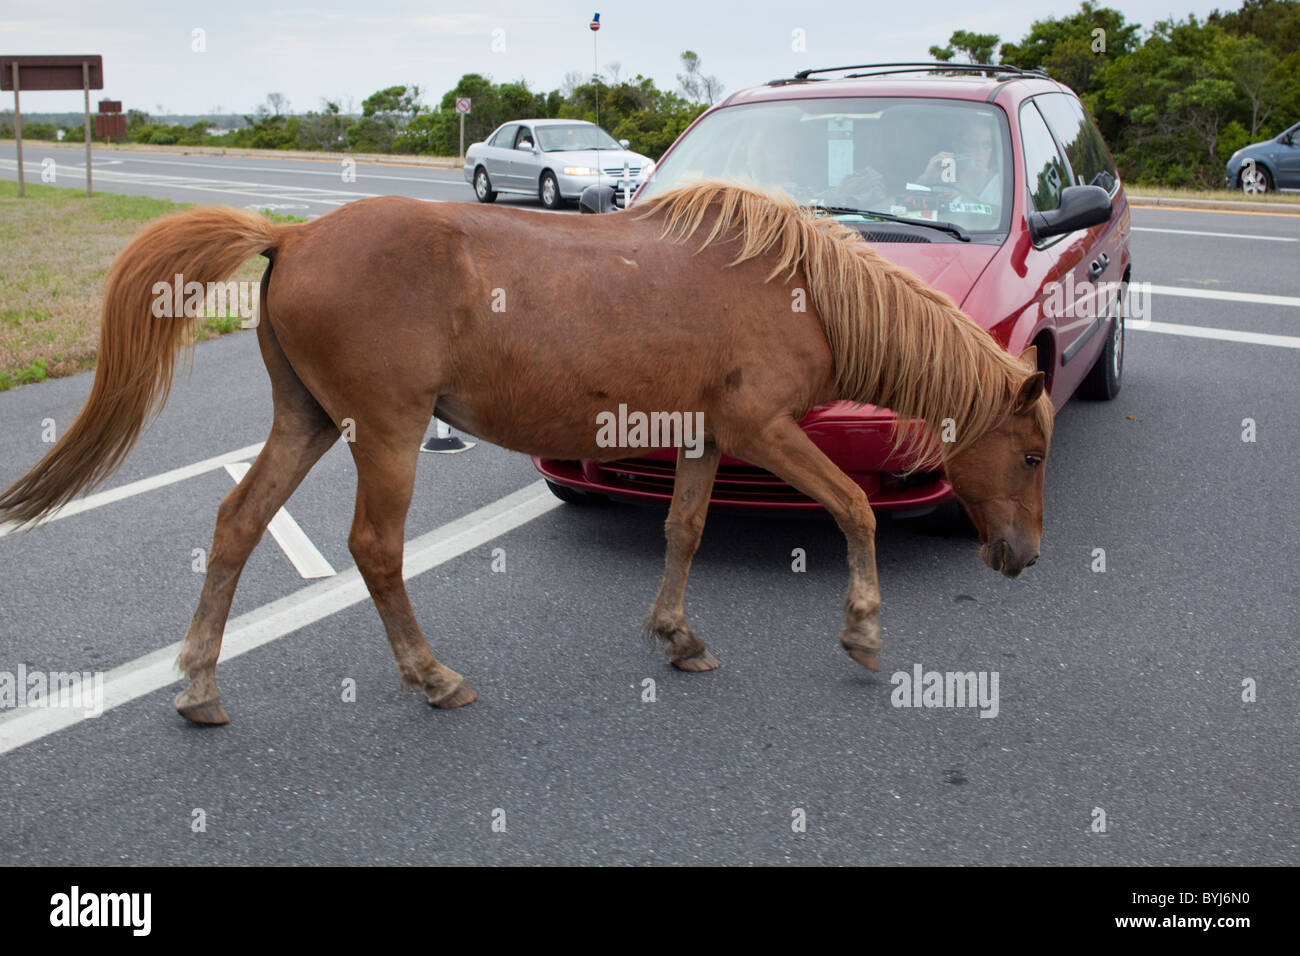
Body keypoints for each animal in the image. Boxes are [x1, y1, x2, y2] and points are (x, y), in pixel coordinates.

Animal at [0, 180, 1050, 723]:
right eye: (1035, 456)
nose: (1024, 557)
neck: (800, 289)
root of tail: (292, 235)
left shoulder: (706, 439)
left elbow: (684, 532)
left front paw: (677, 636)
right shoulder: (765, 433)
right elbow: (854, 507)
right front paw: (862, 630)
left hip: (308, 423)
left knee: (236, 524)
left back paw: (201, 687)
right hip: (386, 432)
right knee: (375, 550)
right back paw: (431, 677)